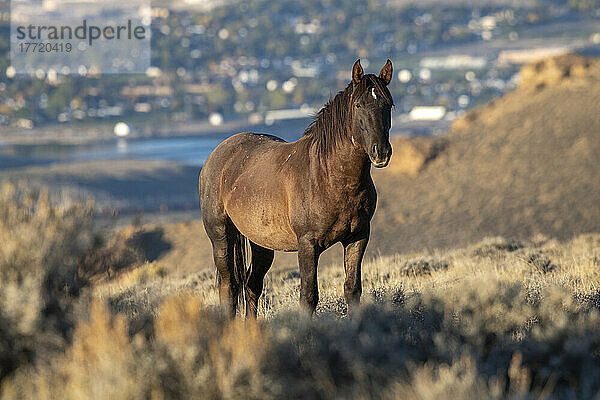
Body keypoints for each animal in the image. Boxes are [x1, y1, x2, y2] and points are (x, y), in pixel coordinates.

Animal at [198, 59, 394, 318]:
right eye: (359, 104)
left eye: (388, 104)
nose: (381, 152)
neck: (329, 176)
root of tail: (216, 154)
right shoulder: (308, 245)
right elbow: (309, 297)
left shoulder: (358, 237)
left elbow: (352, 290)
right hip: (221, 237)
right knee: (229, 288)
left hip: (261, 244)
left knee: (252, 286)